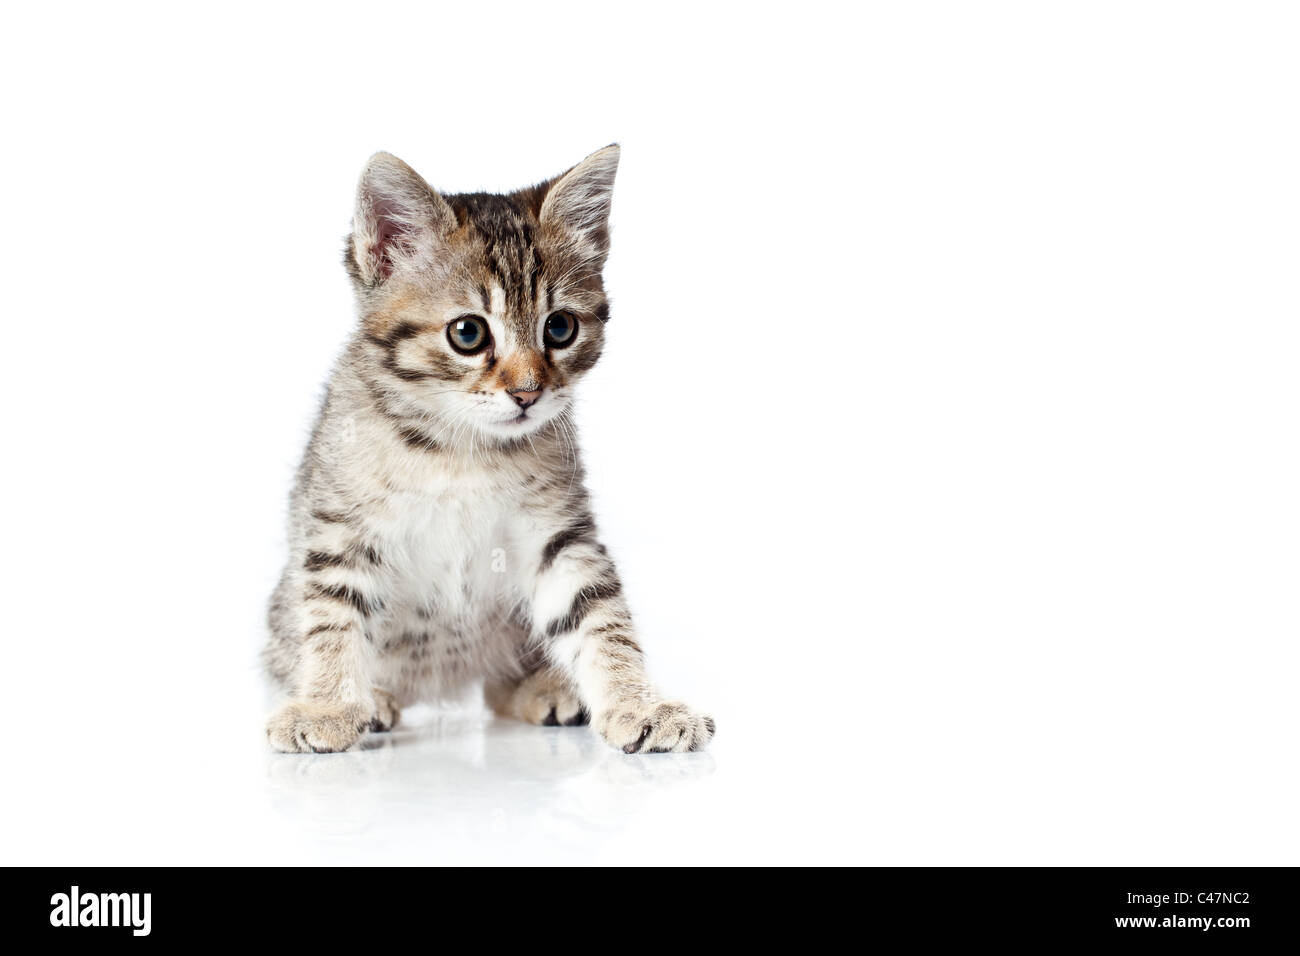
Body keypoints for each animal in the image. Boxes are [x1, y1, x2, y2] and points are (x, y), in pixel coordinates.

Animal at [260, 145, 717, 754]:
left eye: (561, 327)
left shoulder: (557, 532)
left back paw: (542, 689)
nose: (528, 393)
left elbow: (598, 615)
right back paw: (373, 700)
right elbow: (332, 618)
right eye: (468, 334)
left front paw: (638, 703)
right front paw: (326, 706)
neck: (460, 446)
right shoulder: (341, 527)